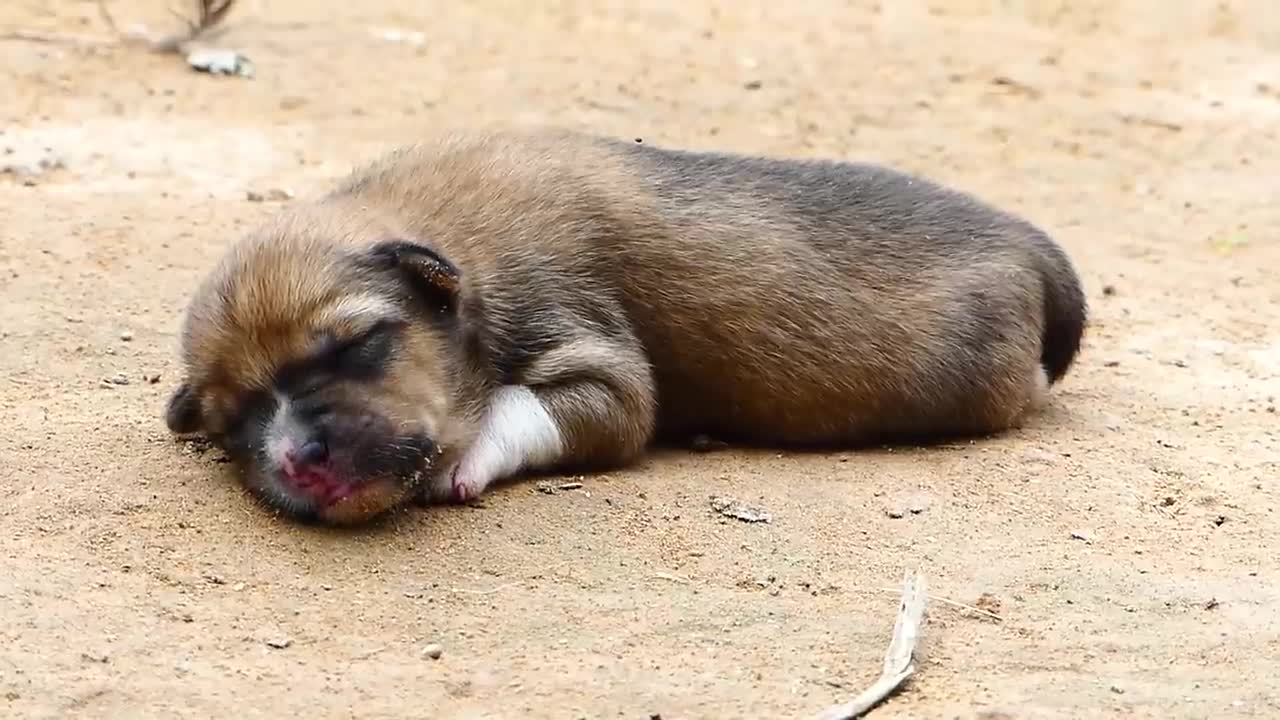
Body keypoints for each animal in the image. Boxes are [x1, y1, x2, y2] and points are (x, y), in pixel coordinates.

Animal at [162, 127, 1090, 520]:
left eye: (359, 343)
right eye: (235, 422)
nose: (299, 461)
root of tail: (1025, 237)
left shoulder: (602, 367)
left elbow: (522, 406)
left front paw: (461, 460)